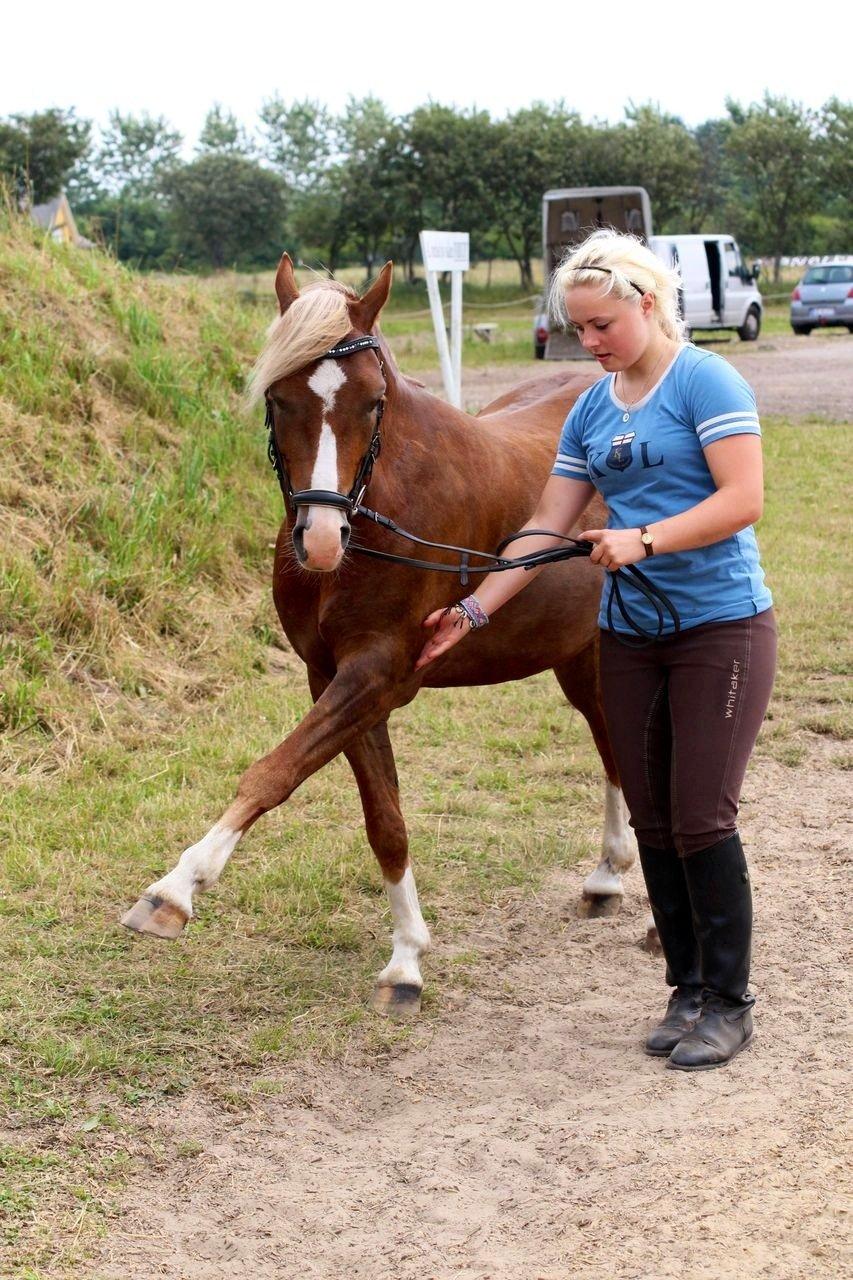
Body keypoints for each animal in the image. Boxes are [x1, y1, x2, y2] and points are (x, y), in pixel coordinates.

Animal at [121, 256, 638, 1017]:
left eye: (371, 402)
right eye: (278, 398)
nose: (321, 540)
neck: (383, 511)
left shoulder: (379, 674)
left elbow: (273, 772)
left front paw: (174, 891)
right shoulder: (336, 678)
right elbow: (383, 820)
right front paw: (406, 960)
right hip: (575, 653)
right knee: (607, 741)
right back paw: (606, 873)